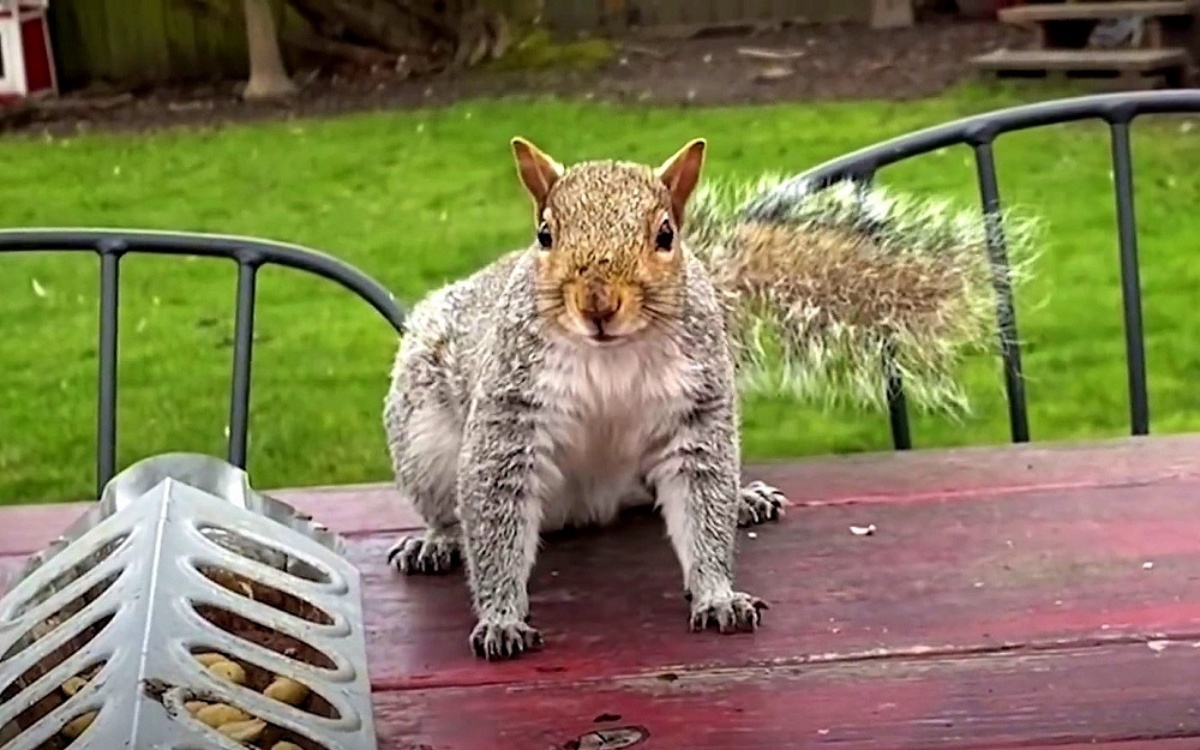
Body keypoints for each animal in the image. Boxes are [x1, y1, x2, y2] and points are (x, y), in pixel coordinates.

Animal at [379, 137, 1036, 657]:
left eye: (665, 234)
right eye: (544, 234)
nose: (597, 303)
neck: (612, 354)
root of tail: (585, 507)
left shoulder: (696, 415)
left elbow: (702, 507)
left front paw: (719, 595)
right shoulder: (509, 415)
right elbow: (495, 519)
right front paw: (500, 618)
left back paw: (744, 497)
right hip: (421, 442)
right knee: (449, 509)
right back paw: (436, 542)